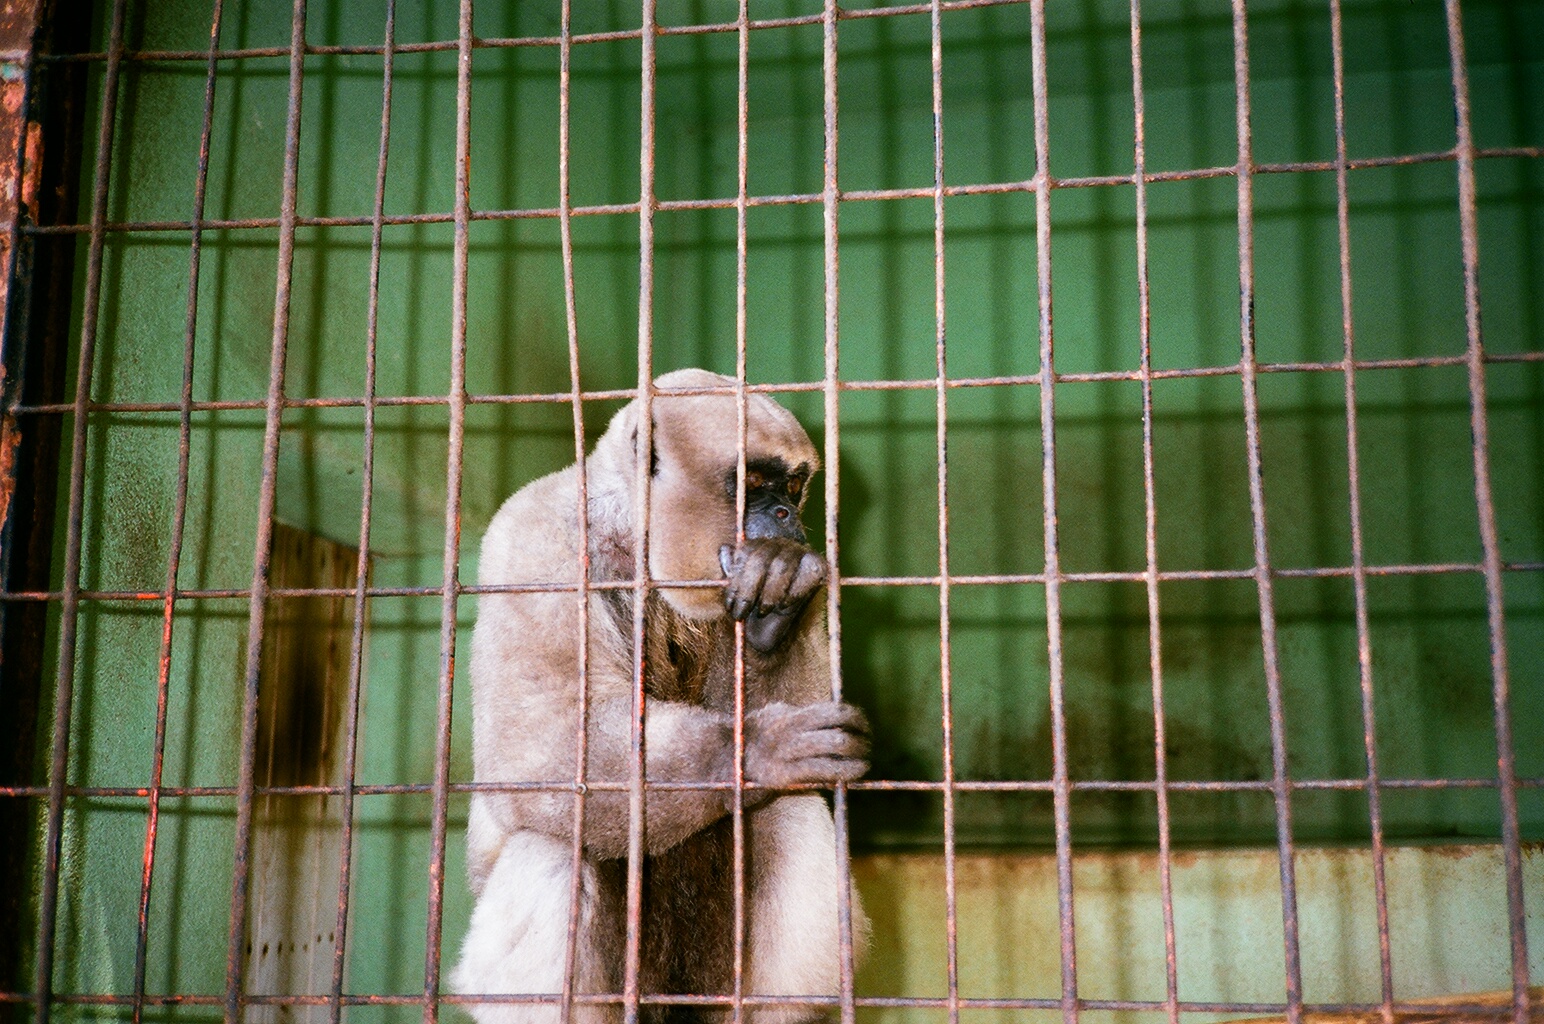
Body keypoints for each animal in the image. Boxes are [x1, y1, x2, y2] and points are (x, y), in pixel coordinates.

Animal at [452, 369, 871, 1024]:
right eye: (752, 486)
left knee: (789, 807)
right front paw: (755, 749)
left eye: (793, 487)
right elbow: (537, 753)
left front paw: (775, 618)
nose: (784, 514)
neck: (633, 538)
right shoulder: (535, 534)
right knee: (555, 844)